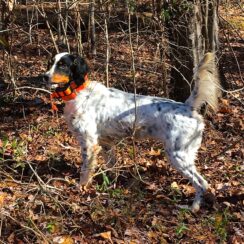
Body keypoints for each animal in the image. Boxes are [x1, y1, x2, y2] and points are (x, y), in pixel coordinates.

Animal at [44, 52, 220, 212]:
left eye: (62, 65)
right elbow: (111, 167)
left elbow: (85, 171)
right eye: (51, 63)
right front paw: (110, 185)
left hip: (178, 155)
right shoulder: (106, 144)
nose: (44, 77)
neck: (79, 92)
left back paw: (193, 207)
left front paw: (81, 188)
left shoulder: (89, 144)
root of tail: (187, 107)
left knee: (202, 183)